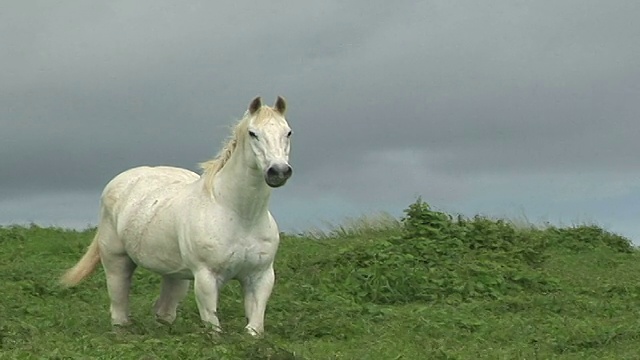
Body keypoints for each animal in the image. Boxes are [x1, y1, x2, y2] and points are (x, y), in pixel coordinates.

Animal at [61, 96, 292, 338]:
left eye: (288, 132)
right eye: (253, 133)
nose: (278, 171)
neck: (240, 215)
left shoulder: (260, 277)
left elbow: (254, 329)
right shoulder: (206, 277)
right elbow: (214, 328)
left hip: (174, 275)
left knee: (164, 311)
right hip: (116, 261)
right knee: (119, 309)